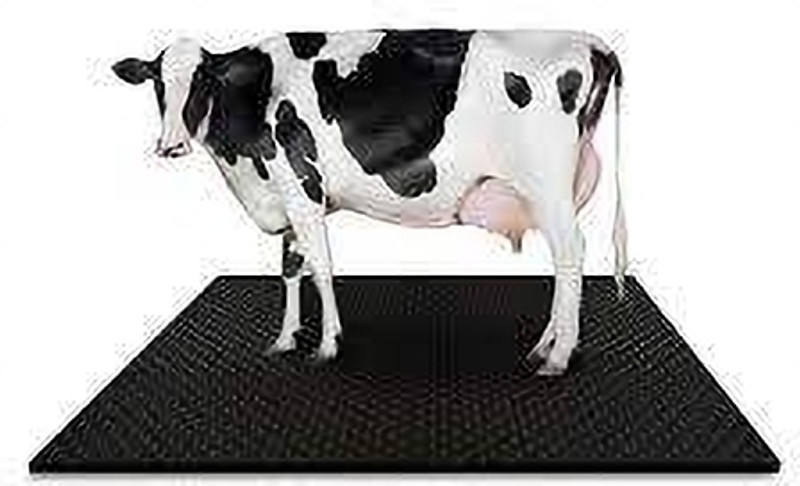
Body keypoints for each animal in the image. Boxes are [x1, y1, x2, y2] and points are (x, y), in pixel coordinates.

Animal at [112, 29, 626, 375]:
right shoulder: (285, 198)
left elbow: (320, 266)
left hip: (546, 183)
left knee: (571, 252)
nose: (170, 145)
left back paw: (558, 356)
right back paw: (546, 345)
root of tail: (594, 44)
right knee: (564, 262)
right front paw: (284, 338)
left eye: (203, 81)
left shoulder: (302, 187)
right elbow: (289, 268)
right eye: (158, 84)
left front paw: (328, 344)